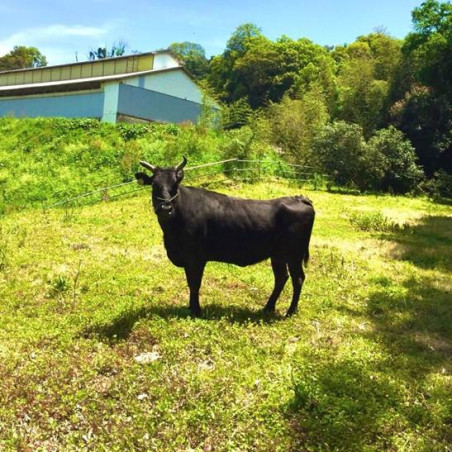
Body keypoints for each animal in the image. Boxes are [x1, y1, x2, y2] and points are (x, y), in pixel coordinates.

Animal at [136, 159, 316, 318]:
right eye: (154, 185)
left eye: (175, 185)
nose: (166, 208)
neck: (172, 234)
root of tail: (299, 198)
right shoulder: (187, 259)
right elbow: (190, 283)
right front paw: (190, 308)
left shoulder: (196, 258)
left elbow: (194, 284)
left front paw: (196, 311)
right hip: (278, 255)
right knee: (281, 278)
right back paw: (268, 308)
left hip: (294, 254)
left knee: (298, 279)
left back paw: (289, 312)